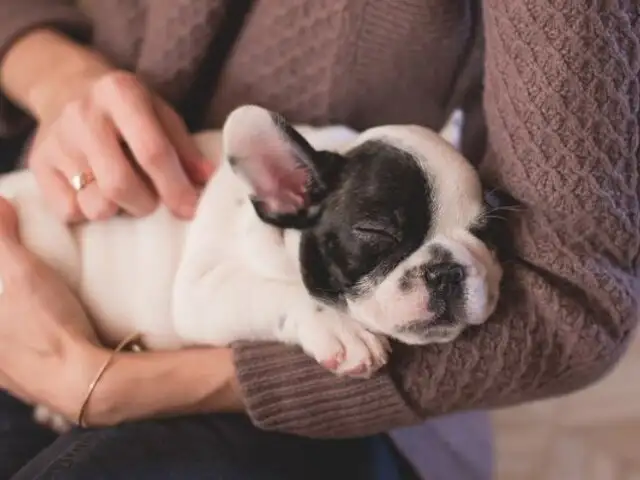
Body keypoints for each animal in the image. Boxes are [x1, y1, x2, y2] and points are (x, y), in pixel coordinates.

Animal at [5, 105, 502, 432]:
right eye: (375, 231)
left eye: (486, 232)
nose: (447, 271)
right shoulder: (200, 292)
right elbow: (277, 292)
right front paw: (341, 330)